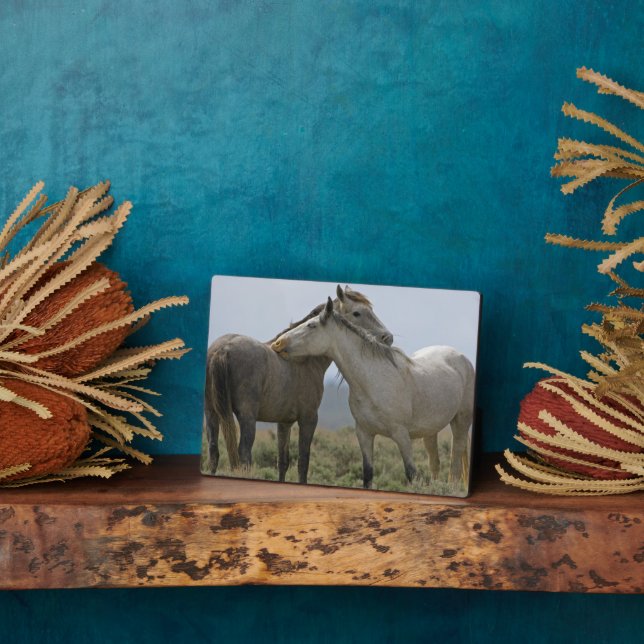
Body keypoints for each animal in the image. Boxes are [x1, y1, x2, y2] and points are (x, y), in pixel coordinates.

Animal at [203, 285, 393, 483]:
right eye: (357, 313)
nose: (388, 337)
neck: (304, 358)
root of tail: (223, 349)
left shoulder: (284, 422)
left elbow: (283, 462)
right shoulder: (308, 419)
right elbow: (303, 462)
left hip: (211, 413)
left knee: (213, 451)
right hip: (247, 416)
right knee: (244, 454)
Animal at [271, 297, 475, 489]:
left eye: (311, 325)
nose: (277, 343)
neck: (373, 382)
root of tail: (462, 358)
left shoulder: (402, 435)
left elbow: (411, 474)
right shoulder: (364, 434)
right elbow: (368, 474)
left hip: (460, 421)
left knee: (455, 463)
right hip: (430, 431)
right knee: (435, 463)